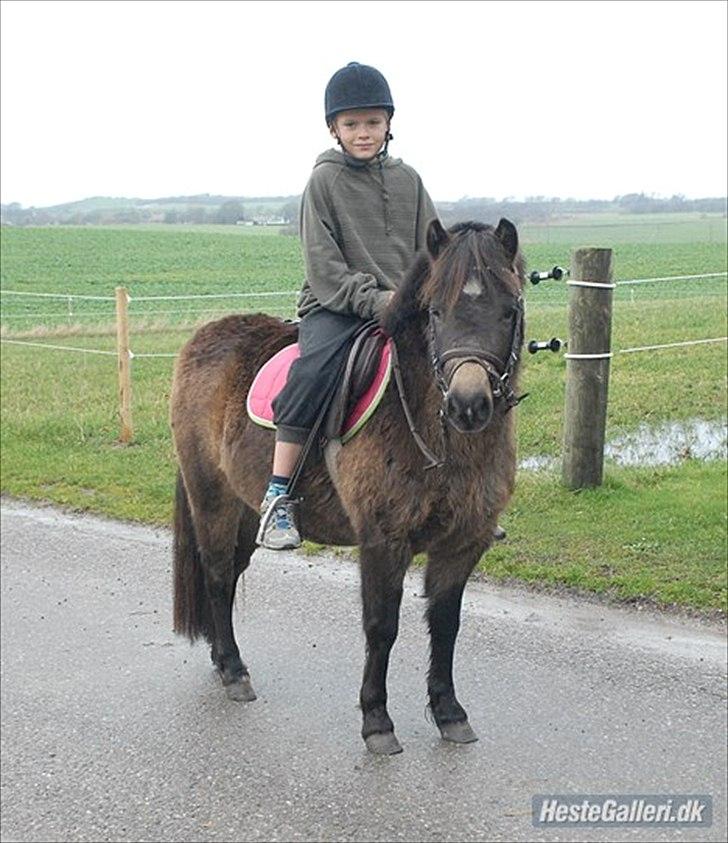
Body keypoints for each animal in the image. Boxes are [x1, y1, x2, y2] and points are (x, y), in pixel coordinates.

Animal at [170, 218, 526, 754]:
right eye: (435, 311)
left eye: (509, 310)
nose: (468, 404)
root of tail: (204, 337)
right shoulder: (383, 540)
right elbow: (381, 627)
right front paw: (376, 719)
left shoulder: (464, 543)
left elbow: (446, 625)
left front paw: (449, 712)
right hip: (212, 500)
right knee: (215, 574)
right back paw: (233, 670)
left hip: (246, 509)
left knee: (229, 576)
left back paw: (221, 658)